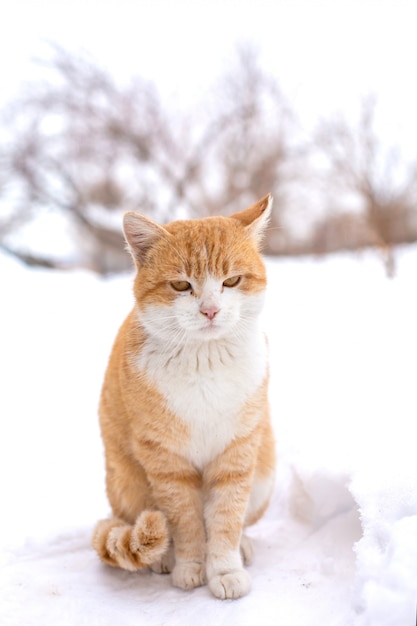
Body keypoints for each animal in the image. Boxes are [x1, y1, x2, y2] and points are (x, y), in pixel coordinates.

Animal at [92, 193, 274, 596]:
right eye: (180, 285)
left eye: (231, 281)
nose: (210, 310)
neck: (204, 362)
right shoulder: (166, 461)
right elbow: (187, 522)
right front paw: (190, 566)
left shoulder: (237, 452)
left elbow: (226, 518)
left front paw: (225, 569)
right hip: (129, 486)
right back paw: (164, 557)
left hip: (264, 473)